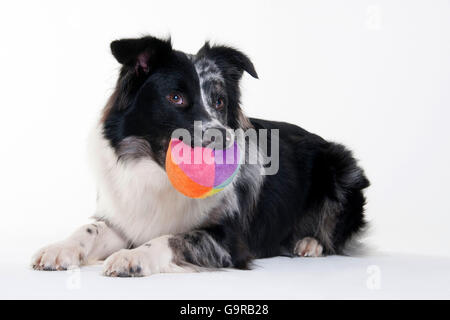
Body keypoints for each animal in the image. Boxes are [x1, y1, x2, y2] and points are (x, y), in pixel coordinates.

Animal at [30, 34, 370, 276]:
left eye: (219, 101)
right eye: (175, 98)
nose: (223, 141)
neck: (160, 178)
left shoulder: (229, 239)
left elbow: (173, 237)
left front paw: (133, 256)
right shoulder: (127, 218)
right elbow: (90, 228)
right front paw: (59, 249)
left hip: (342, 170)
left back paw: (309, 243)